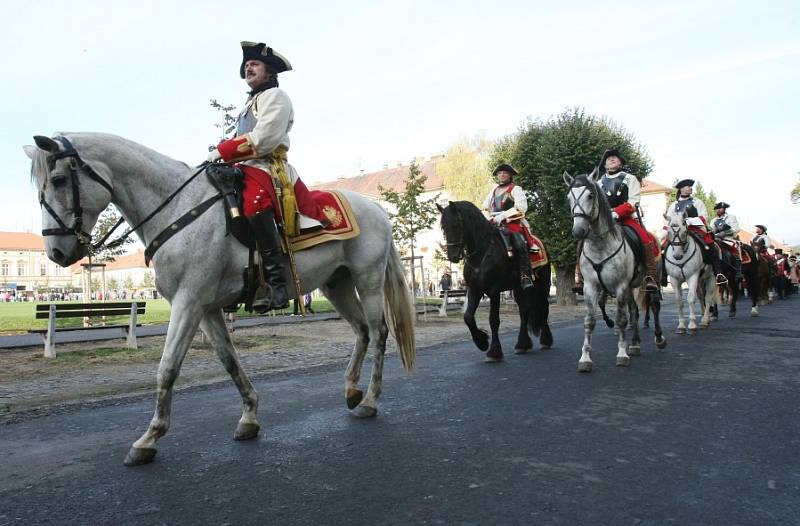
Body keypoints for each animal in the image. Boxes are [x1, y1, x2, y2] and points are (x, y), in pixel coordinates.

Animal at [23, 134, 418, 468]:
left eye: (57, 180)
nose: (56, 252)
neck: (177, 210)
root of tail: (377, 209)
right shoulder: (206, 307)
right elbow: (229, 361)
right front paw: (249, 417)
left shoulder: (188, 301)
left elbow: (167, 367)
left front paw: (149, 438)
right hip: (336, 285)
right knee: (362, 331)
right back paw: (352, 390)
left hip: (367, 280)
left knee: (379, 333)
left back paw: (369, 400)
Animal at [434, 201, 552, 364]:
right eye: (443, 227)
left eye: (457, 224)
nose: (452, 256)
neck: (482, 253)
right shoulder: (475, 289)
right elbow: (468, 317)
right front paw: (482, 341)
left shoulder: (494, 290)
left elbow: (494, 320)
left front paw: (494, 351)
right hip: (518, 288)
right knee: (524, 311)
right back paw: (522, 344)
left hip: (542, 284)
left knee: (544, 307)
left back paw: (545, 340)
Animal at [564, 171, 668, 374]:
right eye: (569, 197)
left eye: (590, 195)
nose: (579, 231)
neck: (600, 245)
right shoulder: (591, 287)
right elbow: (590, 321)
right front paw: (585, 358)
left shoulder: (620, 286)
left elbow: (620, 320)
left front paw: (621, 354)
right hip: (631, 287)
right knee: (634, 311)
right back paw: (634, 344)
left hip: (650, 281)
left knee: (653, 305)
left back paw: (659, 338)